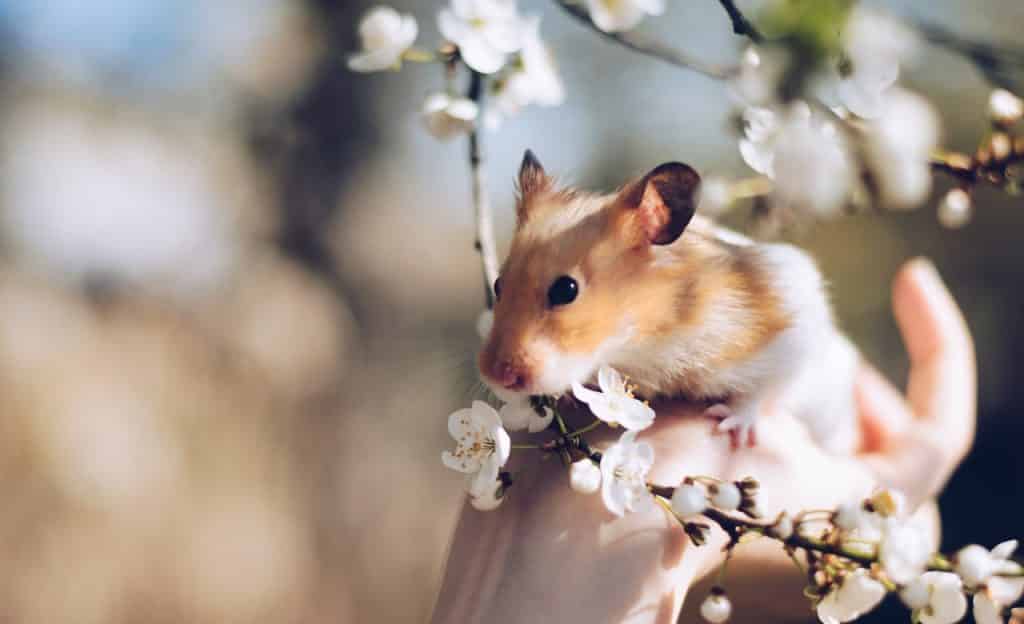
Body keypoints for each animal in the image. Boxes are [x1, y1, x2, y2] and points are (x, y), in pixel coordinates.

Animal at [477, 150, 856, 452]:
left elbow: (764, 389)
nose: (496, 376)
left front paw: (728, 425)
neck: (644, 338)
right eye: (497, 284)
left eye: (566, 290)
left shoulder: (791, 324)